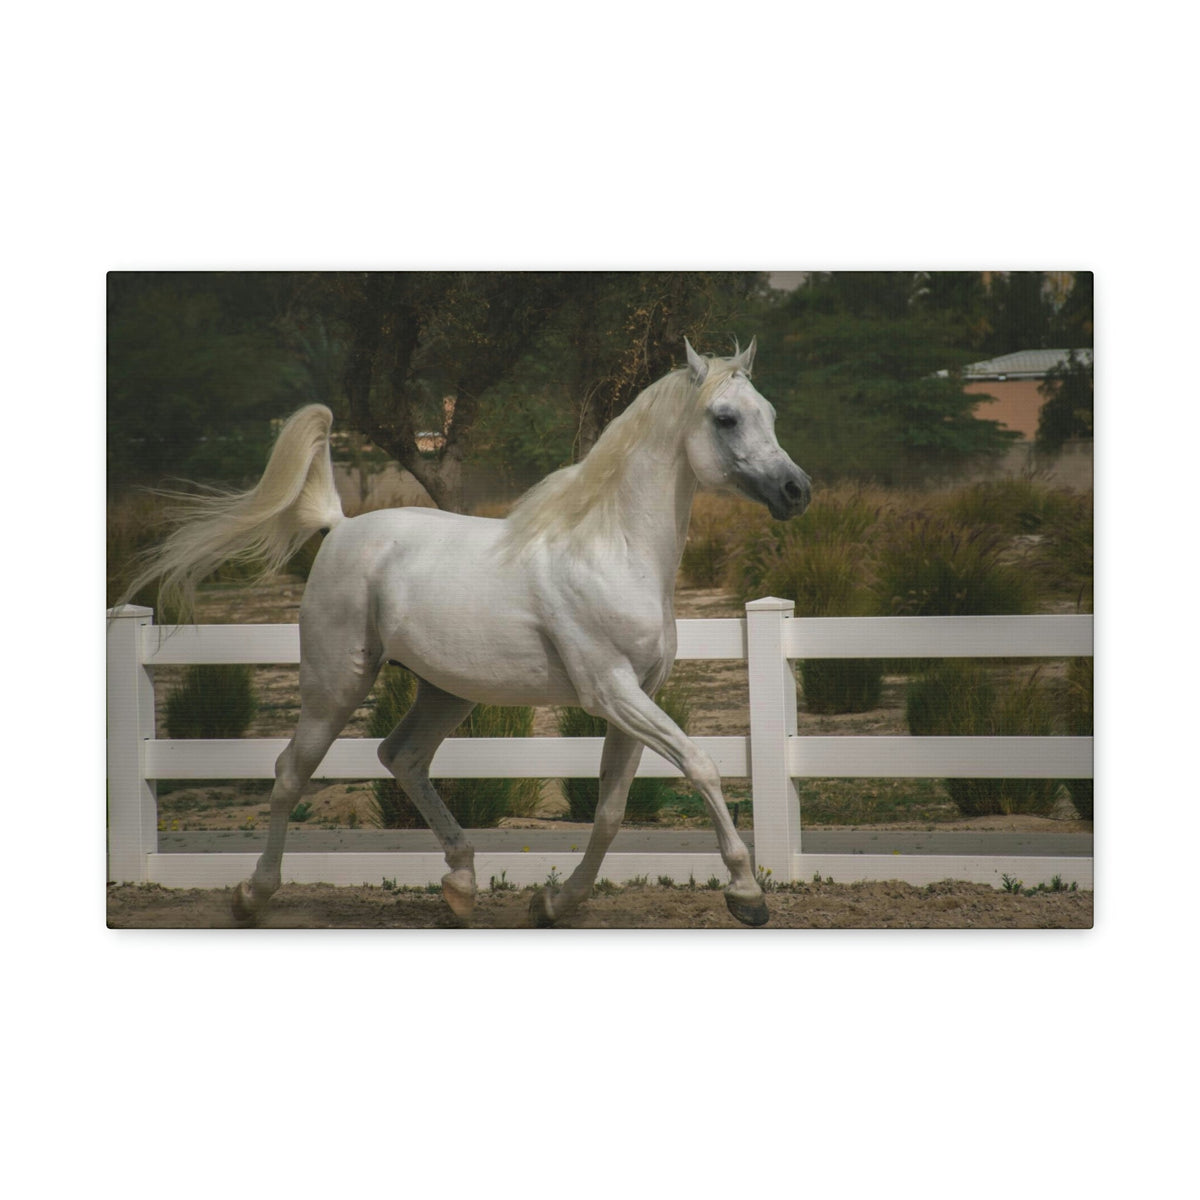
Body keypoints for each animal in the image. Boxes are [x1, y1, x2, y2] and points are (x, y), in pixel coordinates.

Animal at [129, 337, 811, 927]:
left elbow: (611, 812)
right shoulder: (611, 692)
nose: (796, 491)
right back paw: (253, 896)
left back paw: (459, 885)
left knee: (401, 757)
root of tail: (341, 525)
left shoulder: (636, 697)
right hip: (336, 684)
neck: (611, 550)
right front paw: (747, 895)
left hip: (445, 691)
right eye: (725, 417)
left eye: (772, 413)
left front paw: (553, 903)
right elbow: (701, 766)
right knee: (292, 771)